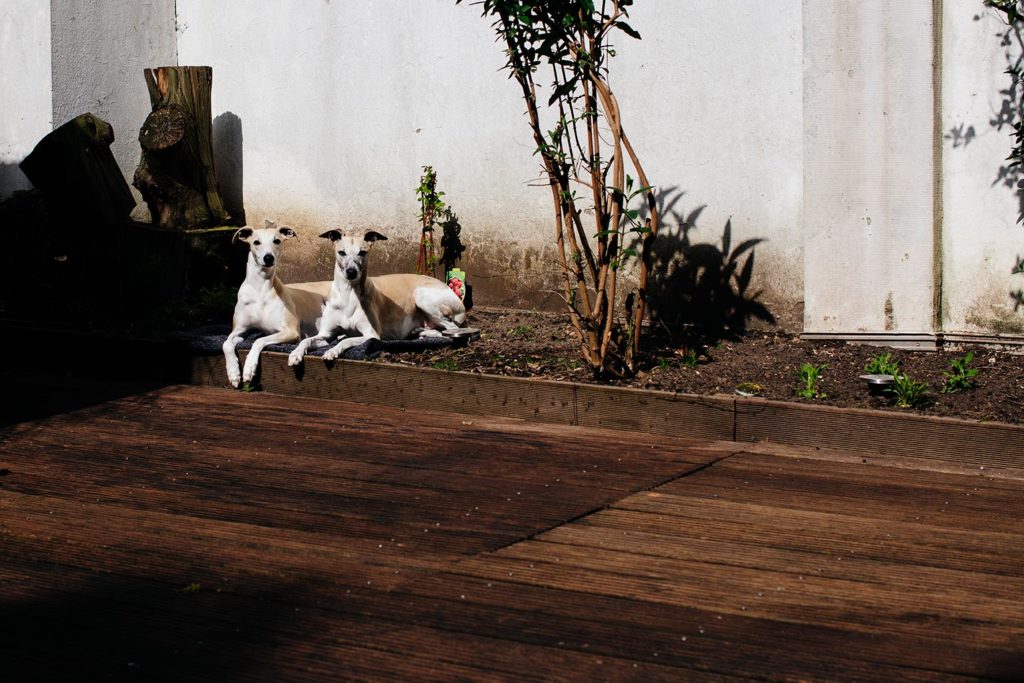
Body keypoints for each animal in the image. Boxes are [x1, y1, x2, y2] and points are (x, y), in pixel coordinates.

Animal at [224, 222, 327, 387]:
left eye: (277, 241)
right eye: (256, 242)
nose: (268, 258)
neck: (260, 289)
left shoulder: (291, 331)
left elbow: (258, 340)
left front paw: (249, 368)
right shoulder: (239, 329)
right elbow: (226, 343)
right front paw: (233, 373)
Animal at [286, 229, 466, 366]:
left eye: (363, 252)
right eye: (341, 252)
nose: (351, 272)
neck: (348, 295)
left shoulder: (371, 335)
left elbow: (346, 341)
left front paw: (332, 351)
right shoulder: (325, 333)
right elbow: (305, 341)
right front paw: (295, 354)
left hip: (422, 296)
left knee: (450, 330)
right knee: (437, 330)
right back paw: (420, 331)